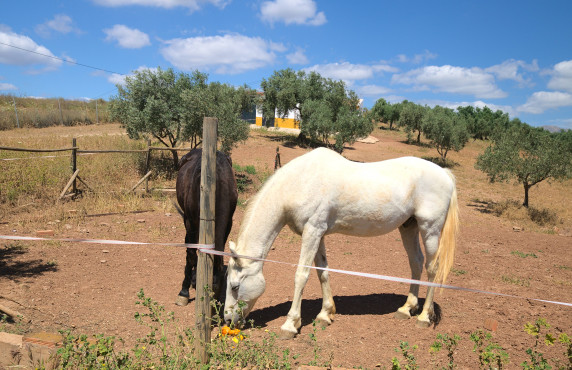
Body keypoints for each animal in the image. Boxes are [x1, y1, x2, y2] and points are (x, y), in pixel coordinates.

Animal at [174, 148, 237, 306]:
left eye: (219, 289)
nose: (214, 310)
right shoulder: (190, 223)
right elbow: (191, 254)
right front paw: (184, 292)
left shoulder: (228, 224)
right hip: (188, 221)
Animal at [225, 147, 460, 338]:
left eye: (235, 286)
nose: (227, 320)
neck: (300, 182)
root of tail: (445, 174)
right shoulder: (317, 234)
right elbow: (322, 271)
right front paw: (325, 314)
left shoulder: (312, 232)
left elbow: (301, 275)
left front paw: (290, 325)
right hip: (409, 227)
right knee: (416, 263)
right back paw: (406, 309)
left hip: (430, 229)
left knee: (432, 268)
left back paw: (424, 317)